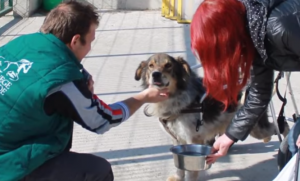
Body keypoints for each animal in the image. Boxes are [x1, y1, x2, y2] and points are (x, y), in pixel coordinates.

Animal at [135, 53, 290, 181]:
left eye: (168, 65)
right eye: (150, 66)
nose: (155, 74)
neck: (175, 97)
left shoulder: (194, 139)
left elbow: (191, 171)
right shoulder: (177, 138)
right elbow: (179, 166)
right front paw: (178, 178)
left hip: (255, 127)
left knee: (282, 125)